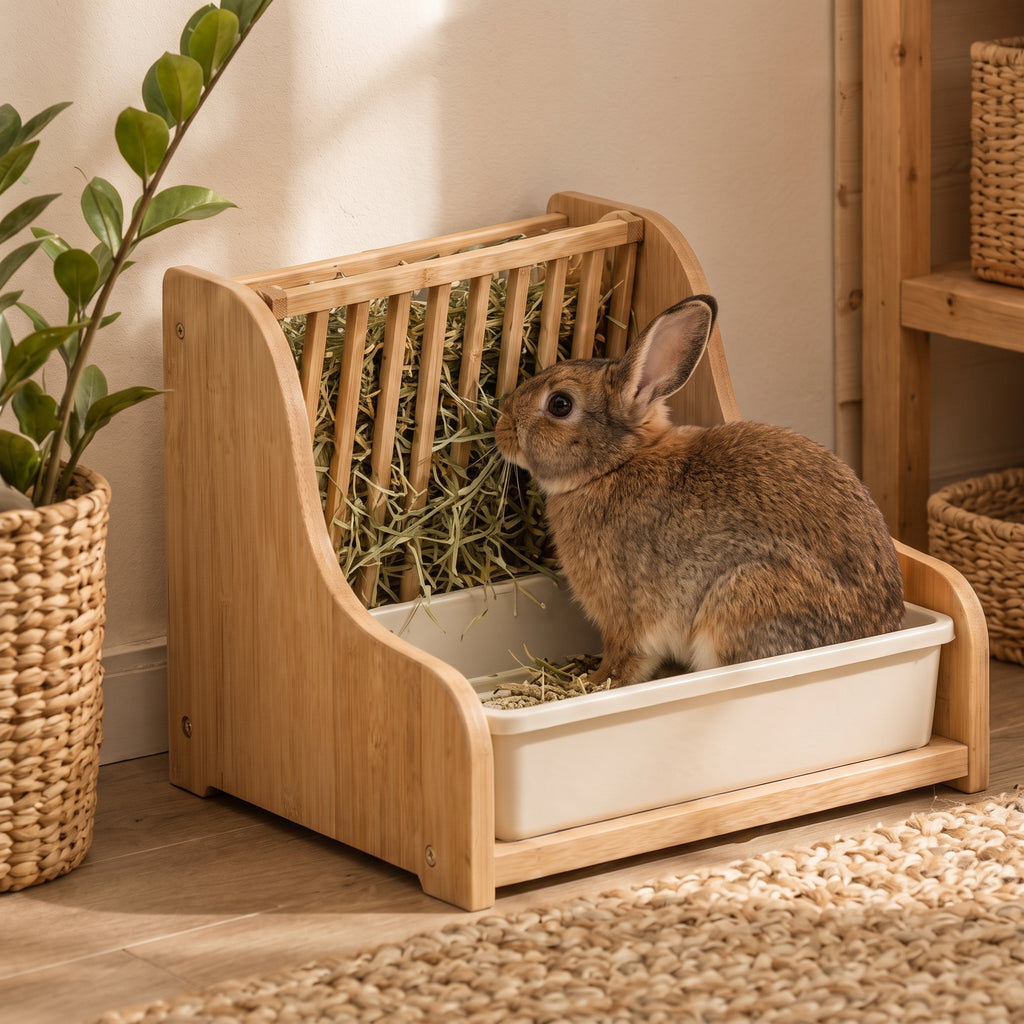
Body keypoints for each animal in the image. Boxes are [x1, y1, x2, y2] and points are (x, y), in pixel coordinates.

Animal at [495, 294, 905, 688]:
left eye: (560, 404)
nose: (501, 426)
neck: (613, 466)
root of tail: (872, 635)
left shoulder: (624, 611)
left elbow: (625, 656)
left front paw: (593, 682)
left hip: (742, 596)